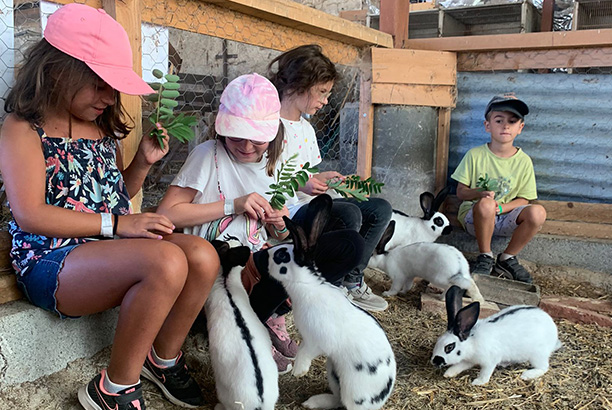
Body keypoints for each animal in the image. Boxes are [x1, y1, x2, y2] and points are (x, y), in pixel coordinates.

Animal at [260, 195, 396, 410]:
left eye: (282, 255)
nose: (263, 255)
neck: (308, 286)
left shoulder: (316, 340)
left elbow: (304, 353)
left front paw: (298, 372)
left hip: (354, 390)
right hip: (333, 370)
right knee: (337, 398)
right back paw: (312, 402)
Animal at [430, 286, 560, 384]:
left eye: (449, 347)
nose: (434, 361)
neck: (472, 341)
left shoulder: (490, 360)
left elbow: (485, 372)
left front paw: (478, 382)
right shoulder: (469, 360)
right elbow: (460, 365)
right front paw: (448, 374)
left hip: (537, 354)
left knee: (543, 367)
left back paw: (527, 375)